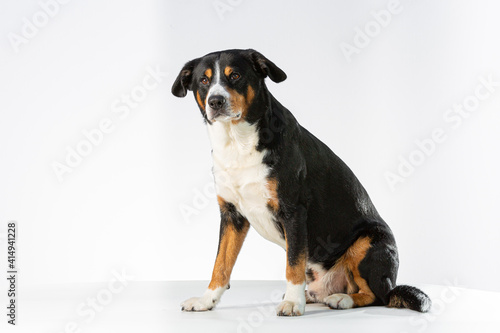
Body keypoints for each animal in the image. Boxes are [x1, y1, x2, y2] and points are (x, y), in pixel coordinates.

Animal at [171, 48, 430, 314]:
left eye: (235, 76)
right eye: (204, 80)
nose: (216, 101)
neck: (237, 142)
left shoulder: (293, 211)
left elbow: (293, 263)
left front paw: (293, 302)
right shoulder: (231, 215)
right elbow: (221, 264)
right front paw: (206, 300)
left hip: (369, 242)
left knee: (378, 295)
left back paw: (341, 299)